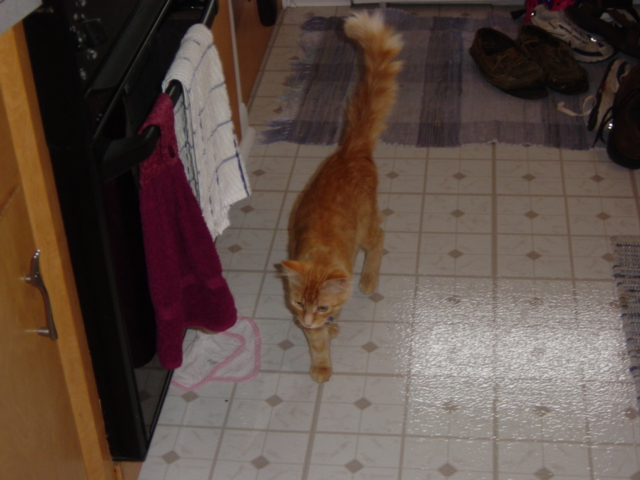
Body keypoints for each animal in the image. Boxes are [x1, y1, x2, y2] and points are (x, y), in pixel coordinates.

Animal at [281, 10, 403, 383]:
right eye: (299, 303)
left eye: (320, 304)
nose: (306, 320)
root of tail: (350, 150)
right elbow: (321, 339)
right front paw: (328, 338)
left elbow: (320, 340)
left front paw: (322, 363)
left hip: (366, 228)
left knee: (380, 239)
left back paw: (369, 279)